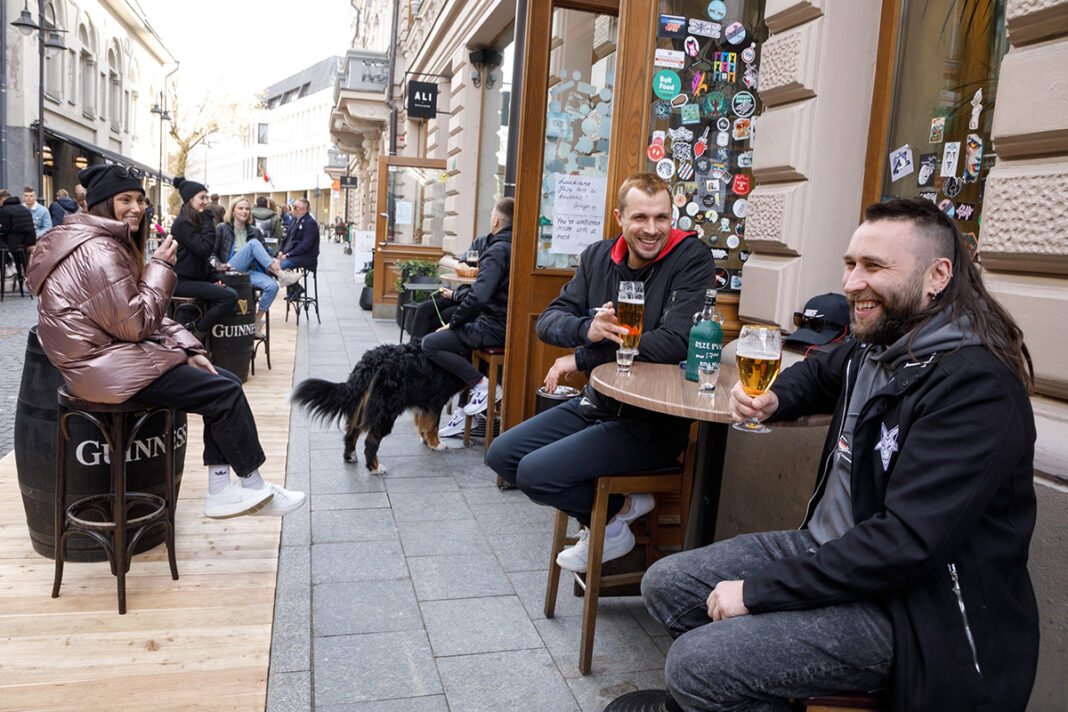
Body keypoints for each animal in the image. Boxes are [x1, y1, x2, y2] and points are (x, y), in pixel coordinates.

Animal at [290, 343, 465, 473]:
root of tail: (371, 363)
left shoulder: (423, 402)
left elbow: (423, 423)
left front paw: (426, 439)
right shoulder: (436, 401)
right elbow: (433, 426)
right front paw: (436, 444)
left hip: (363, 407)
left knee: (351, 432)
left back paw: (350, 456)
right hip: (386, 411)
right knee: (371, 440)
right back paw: (374, 467)